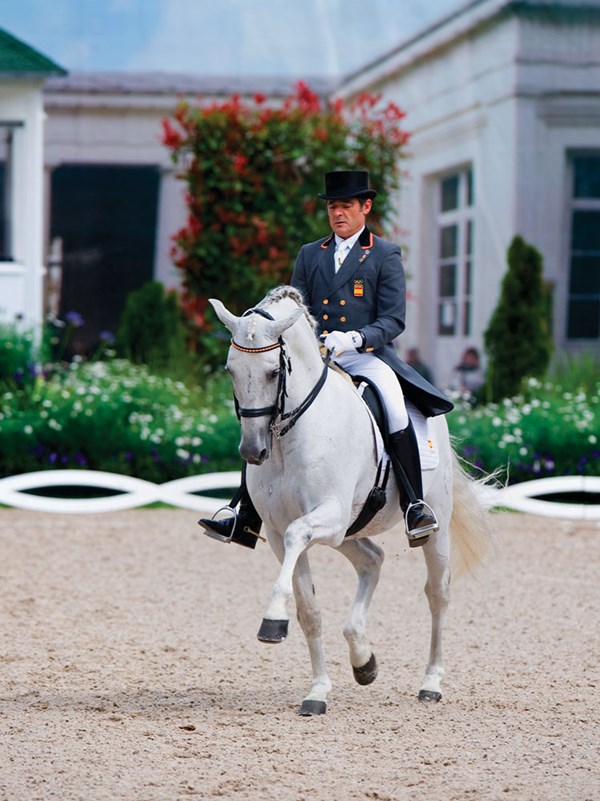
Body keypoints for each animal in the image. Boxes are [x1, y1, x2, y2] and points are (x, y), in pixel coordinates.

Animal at [209, 285, 494, 716]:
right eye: (231, 370)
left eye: (273, 372)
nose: (252, 451)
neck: (290, 435)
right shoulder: (277, 530)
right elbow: (309, 611)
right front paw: (317, 691)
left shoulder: (324, 516)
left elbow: (297, 536)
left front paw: (272, 619)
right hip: (350, 531)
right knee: (372, 560)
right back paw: (363, 659)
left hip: (431, 527)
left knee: (437, 595)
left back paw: (431, 683)